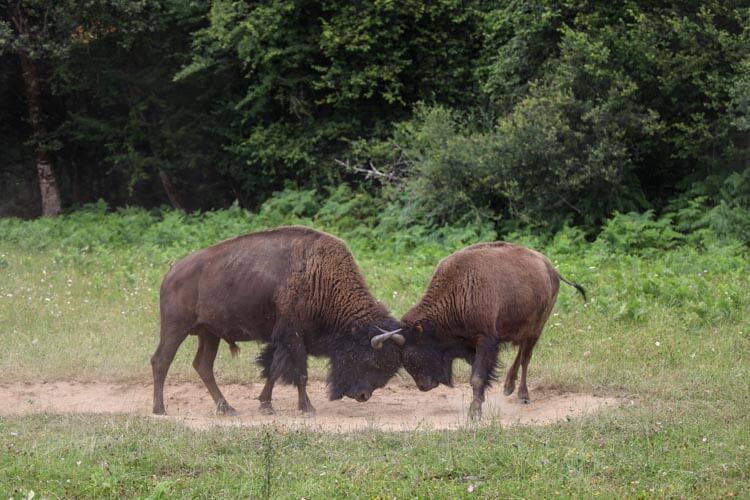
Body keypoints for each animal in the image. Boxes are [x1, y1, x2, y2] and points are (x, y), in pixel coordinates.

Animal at [150, 225, 406, 416]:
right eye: (371, 360)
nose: (363, 396)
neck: (320, 277)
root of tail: (171, 274)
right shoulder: (293, 337)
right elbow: (300, 373)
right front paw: (307, 408)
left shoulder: (285, 340)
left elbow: (274, 370)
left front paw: (266, 405)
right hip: (176, 328)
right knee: (161, 361)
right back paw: (160, 409)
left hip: (209, 333)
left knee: (203, 366)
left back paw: (227, 409)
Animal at [390, 241, 592, 418]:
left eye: (416, 349)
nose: (424, 386)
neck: (456, 291)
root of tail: (552, 269)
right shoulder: (471, 345)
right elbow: (479, 374)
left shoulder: (485, 340)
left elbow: (477, 377)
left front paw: (474, 412)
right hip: (523, 329)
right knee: (521, 353)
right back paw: (508, 387)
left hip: (536, 328)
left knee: (526, 358)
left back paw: (522, 395)